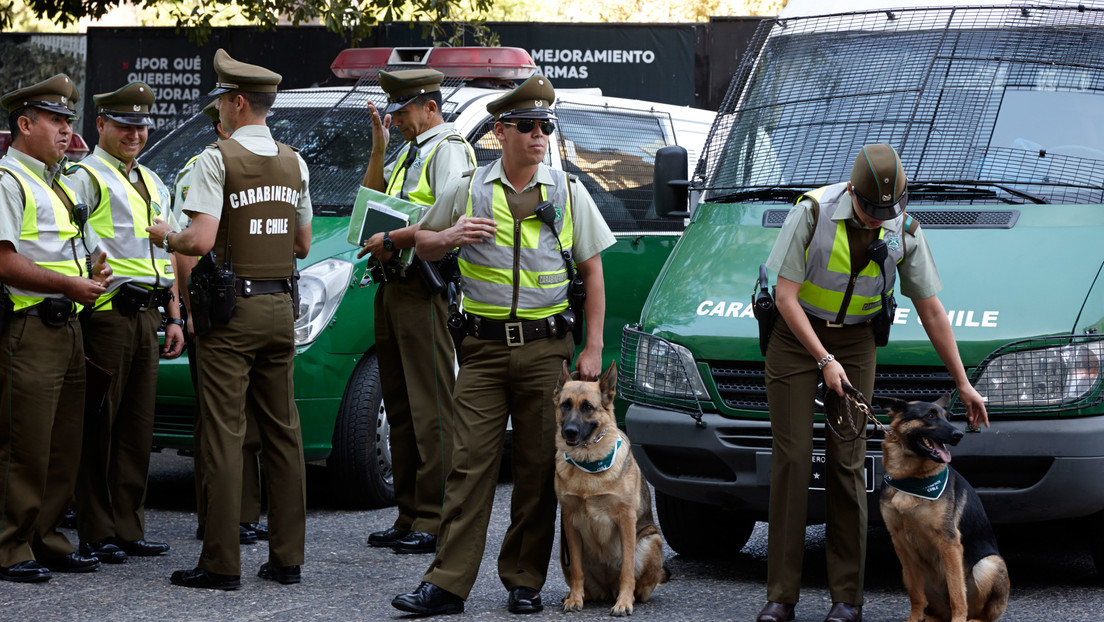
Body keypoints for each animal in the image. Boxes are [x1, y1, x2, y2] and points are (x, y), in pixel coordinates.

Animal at [552, 362, 662, 614]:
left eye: (587, 407)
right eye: (565, 405)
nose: (569, 431)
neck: (586, 462)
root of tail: (606, 589)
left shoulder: (626, 519)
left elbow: (627, 570)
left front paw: (623, 603)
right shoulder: (569, 521)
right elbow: (577, 571)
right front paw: (575, 598)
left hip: (651, 541)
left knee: (640, 587)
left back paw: (628, 597)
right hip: (565, 552)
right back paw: (577, 595)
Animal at [874, 393, 1011, 622]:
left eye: (946, 417)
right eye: (930, 416)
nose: (958, 435)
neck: (909, 478)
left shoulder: (949, 542)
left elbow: (956, 591)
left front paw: (958, 619)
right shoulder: (900, 542)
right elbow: (915, 593)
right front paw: (914, 618)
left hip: (989, 565)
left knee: (982, 613)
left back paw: (971, 619)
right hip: (909, 572)